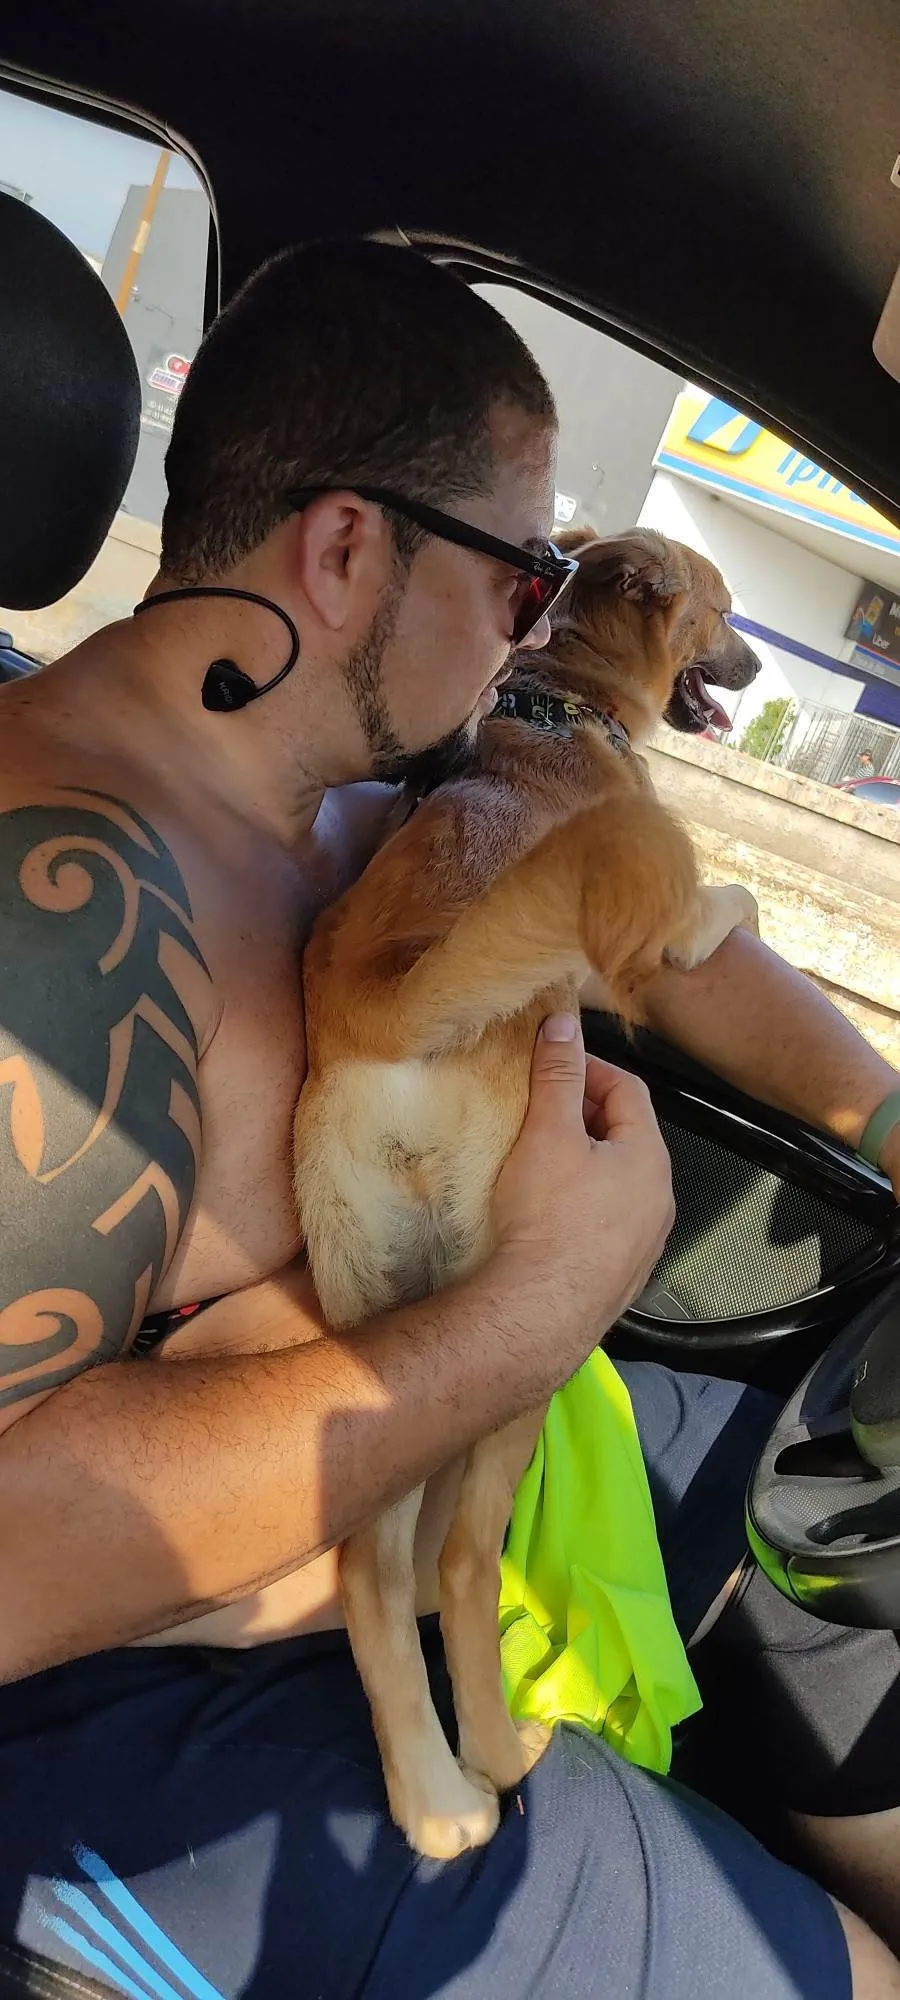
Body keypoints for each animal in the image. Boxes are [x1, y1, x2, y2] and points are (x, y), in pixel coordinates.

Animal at [294, 527, 760, 1859]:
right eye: (722, 608)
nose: (763, 666)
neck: (563, 700)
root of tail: (385, 1013)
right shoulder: (670, 930)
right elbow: (732, 901)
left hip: (385, 1313)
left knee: (372, 1563)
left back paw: (434, 1797)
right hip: (532, 1342)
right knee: (458, 1560)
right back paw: (498, 1751)